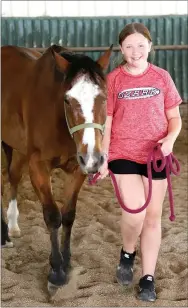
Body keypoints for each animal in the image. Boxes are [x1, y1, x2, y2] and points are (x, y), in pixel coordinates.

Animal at [1, 43, 112, 294]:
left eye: (104, 97)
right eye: (68, 100)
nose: (94, 159)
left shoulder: (78, 168)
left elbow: (68, 215)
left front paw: (67, 261)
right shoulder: (38, 167)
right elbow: (52, 216)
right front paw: (56, 271)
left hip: (18, 147)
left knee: (12, 177)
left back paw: (12, 226)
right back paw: (3, 235)